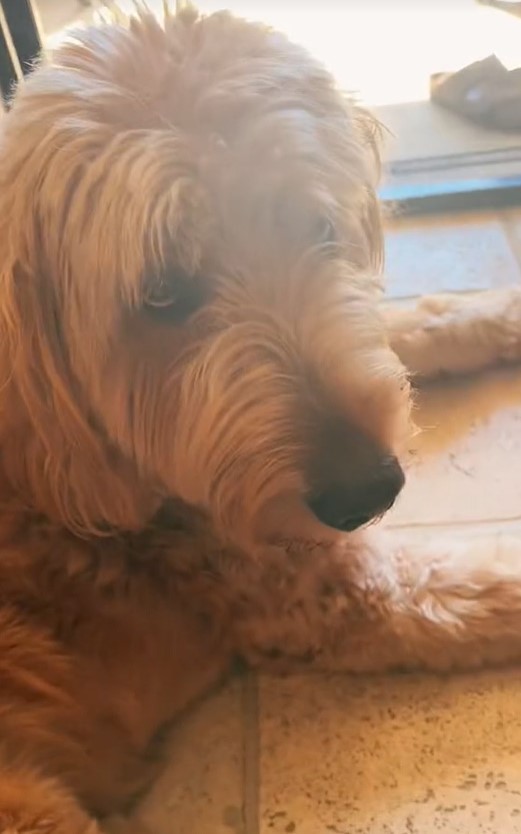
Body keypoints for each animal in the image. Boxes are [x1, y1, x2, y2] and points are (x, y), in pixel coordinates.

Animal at [0, 6, 520, 832]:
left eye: (313, 227)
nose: (369, 491)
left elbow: (408, 325)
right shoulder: (333, 595)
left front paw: (499, 314)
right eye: (160, 293)